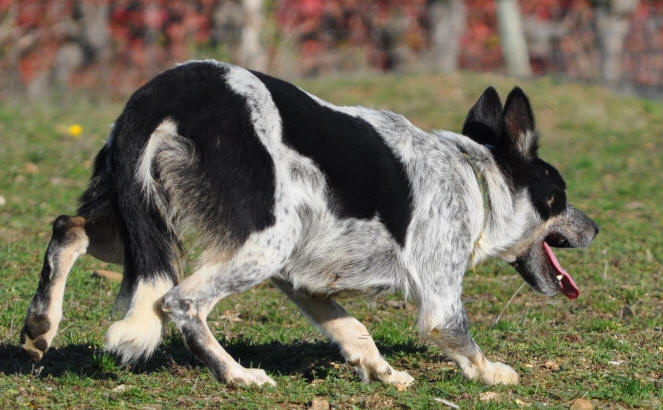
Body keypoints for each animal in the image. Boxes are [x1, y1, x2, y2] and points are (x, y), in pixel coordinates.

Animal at [22, 59, 596, 386]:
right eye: (561, 197)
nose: (594, 228)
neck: (476, 180)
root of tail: (160, 94)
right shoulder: (439, 296)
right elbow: (460, 340)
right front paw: (493, 374)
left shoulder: (304, 283)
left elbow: (355, 331)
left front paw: (383, 372)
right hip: (257, 242)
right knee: (179, 301)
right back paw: (238, 375)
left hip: (142, 222)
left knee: (67, 229)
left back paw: (40, 326)